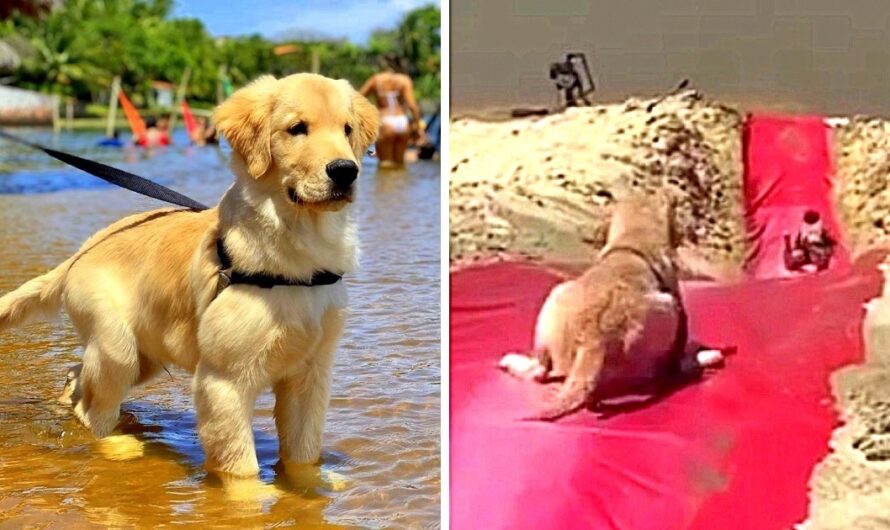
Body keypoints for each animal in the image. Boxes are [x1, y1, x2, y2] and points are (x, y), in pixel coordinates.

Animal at [0, 73, 378, 474]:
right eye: (297, 128)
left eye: (347, 129)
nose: (346, 170)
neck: (298, 254)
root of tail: (82, 250)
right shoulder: (224, 381)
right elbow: (242, 470)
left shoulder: (311, 375)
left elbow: (304, 456)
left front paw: (309, 483)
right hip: (119, 349)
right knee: (92, 410)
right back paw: (119, 446)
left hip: (145, 354)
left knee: (78, 375)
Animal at [500, 192, 720, 418]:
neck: (631, 241)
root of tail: (594, 340)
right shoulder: (679, 309)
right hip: (668, 308)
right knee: (667, 369)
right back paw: (706, 357)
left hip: (555, 297)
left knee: (539, 372)